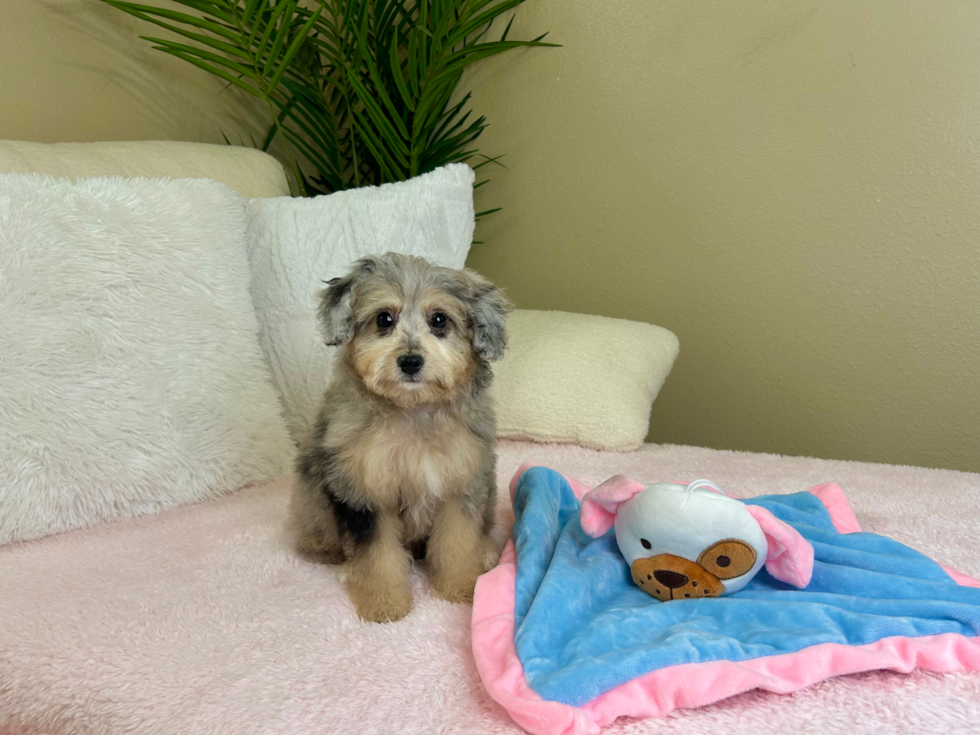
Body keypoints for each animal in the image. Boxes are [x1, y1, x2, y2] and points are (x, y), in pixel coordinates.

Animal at [286, 253, 510, 620]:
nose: (410, 361)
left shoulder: (460, 483)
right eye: (384, 319)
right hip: (313, 491)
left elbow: (458, 541)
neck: (411, 410)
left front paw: (460, 587)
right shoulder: (364, 493)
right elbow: (376, 555)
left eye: (439, 319)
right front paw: (384, 604)